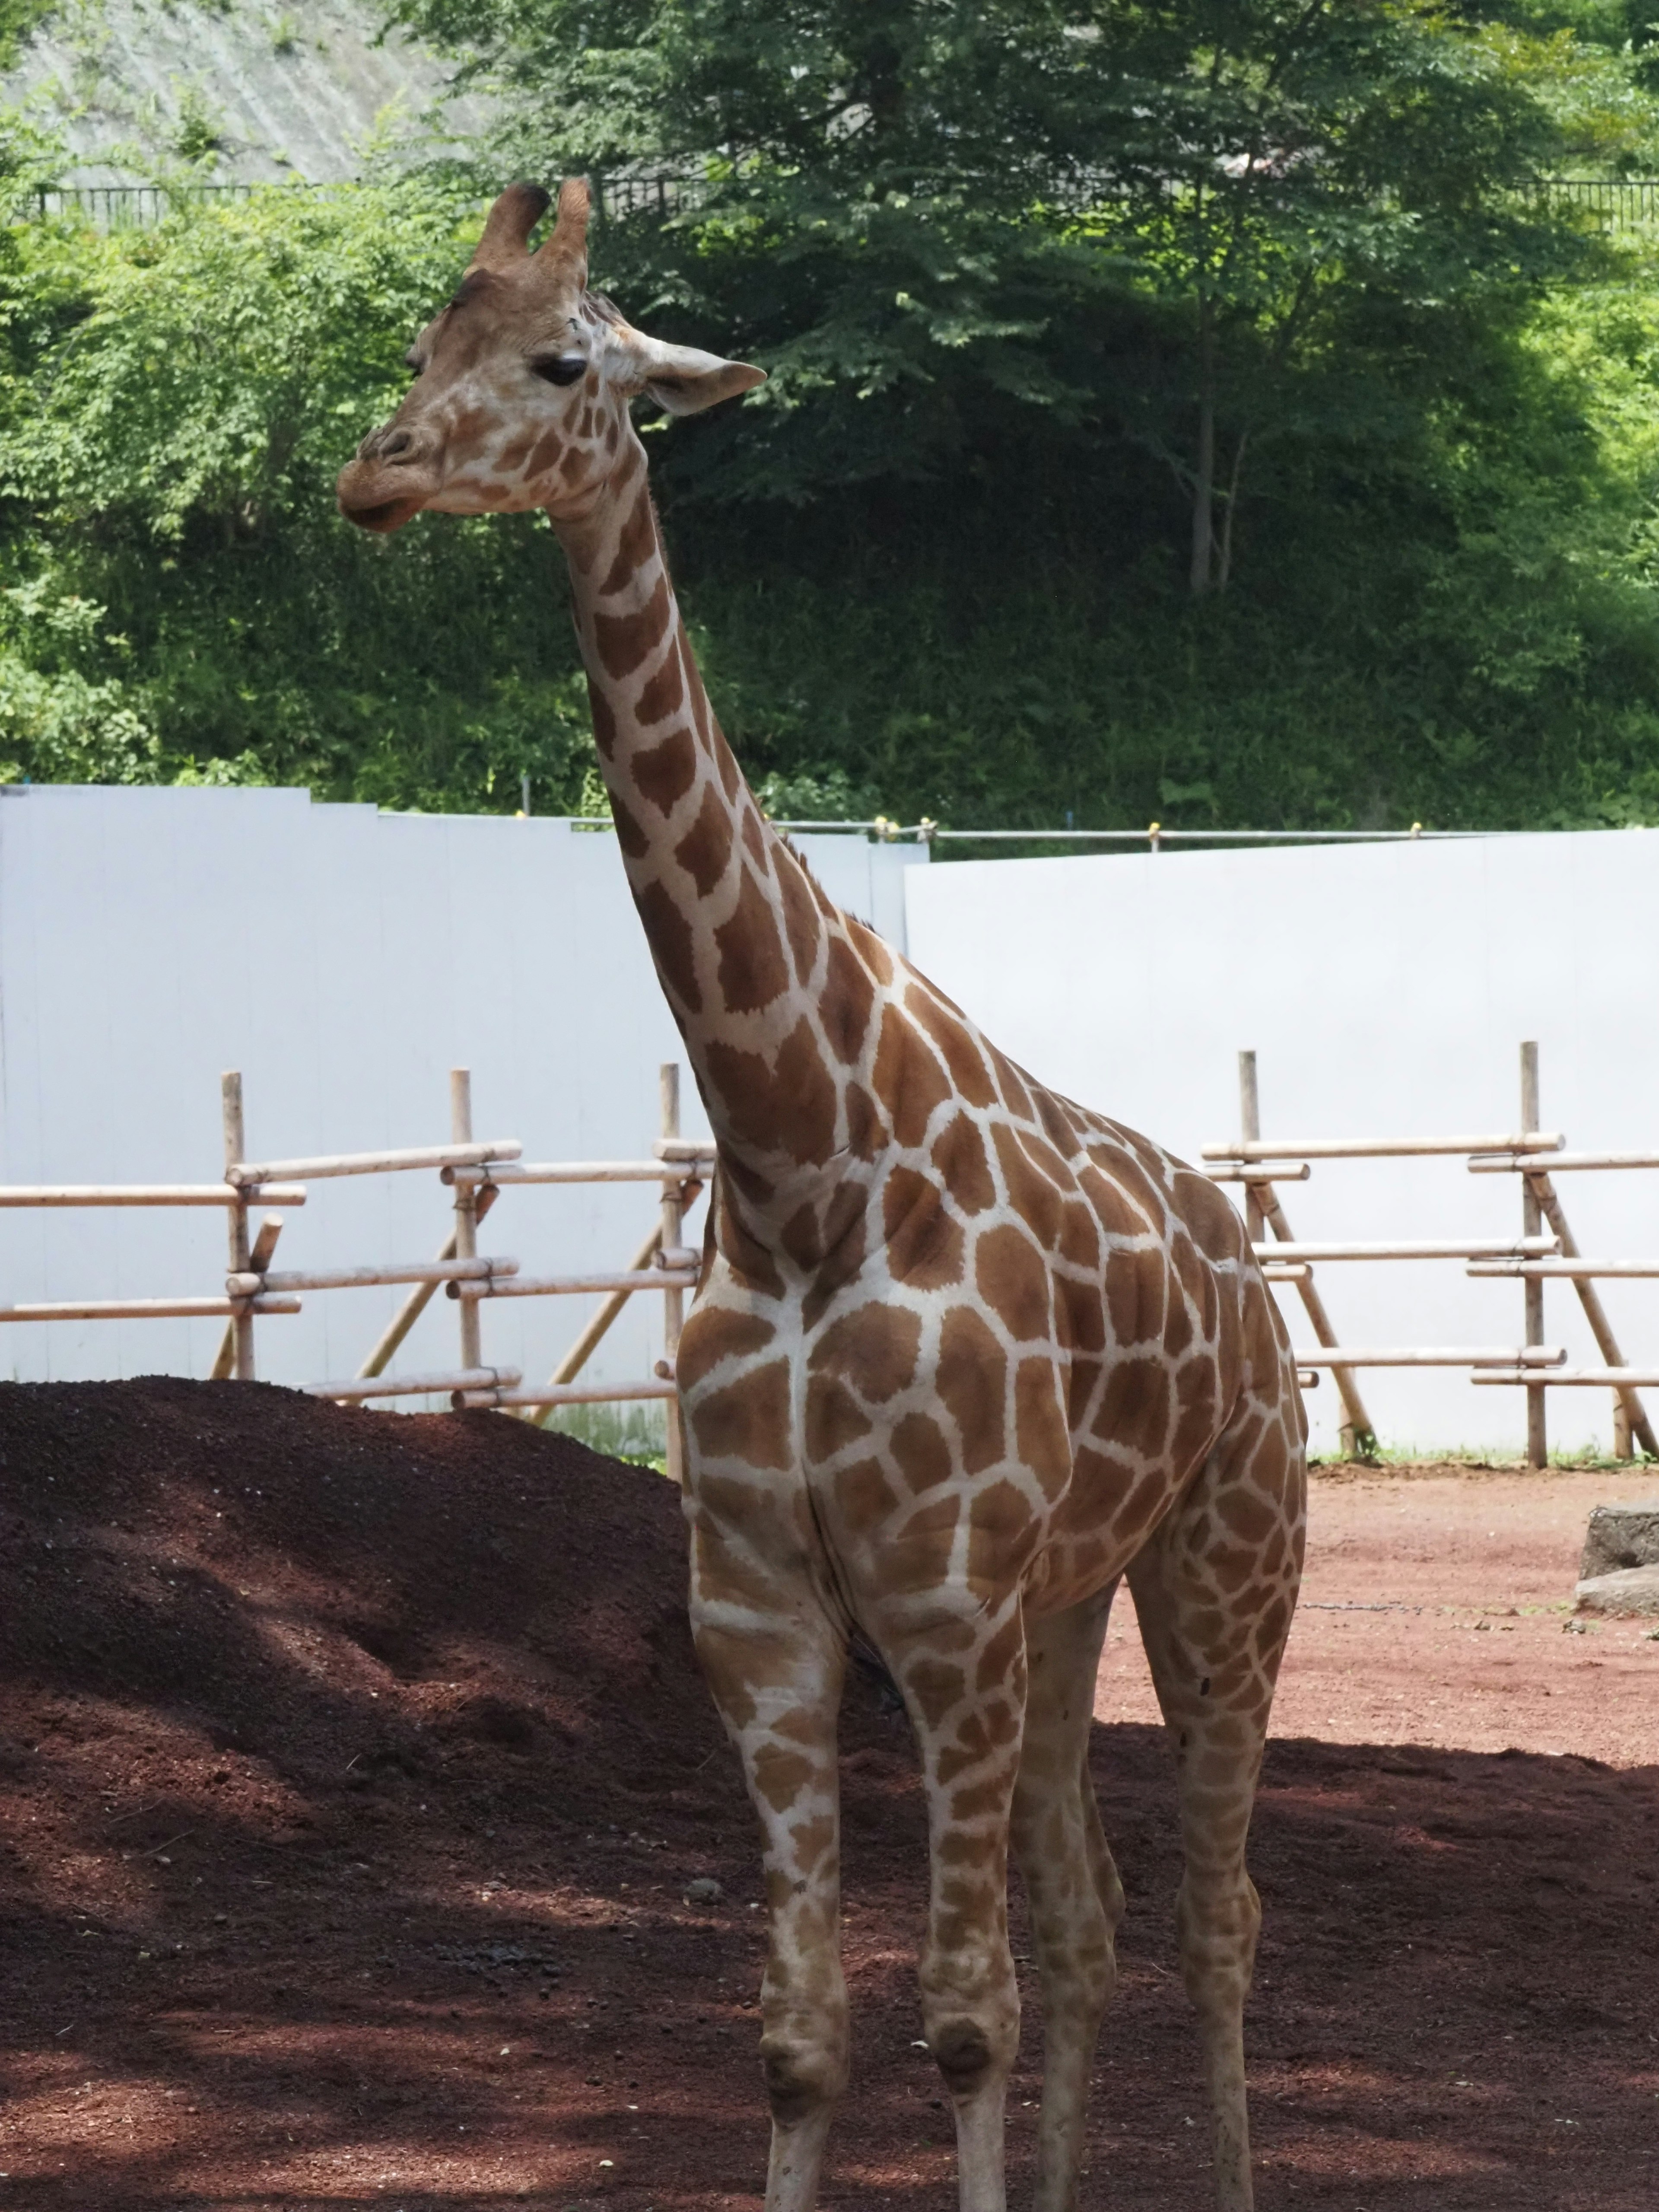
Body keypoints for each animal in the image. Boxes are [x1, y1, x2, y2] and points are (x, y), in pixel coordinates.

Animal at [340, 177, 1309, 2212]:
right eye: (424, 345)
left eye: (564, 364)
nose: (370, 475)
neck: (800, 1156)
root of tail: (1247, 1263)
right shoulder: (767, 1603)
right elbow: (803, 2032)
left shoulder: (937, 1597)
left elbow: (960, 2014)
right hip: (1068, 1595)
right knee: (1096, 1909)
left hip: (1228, 1557)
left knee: (1217, 1910)